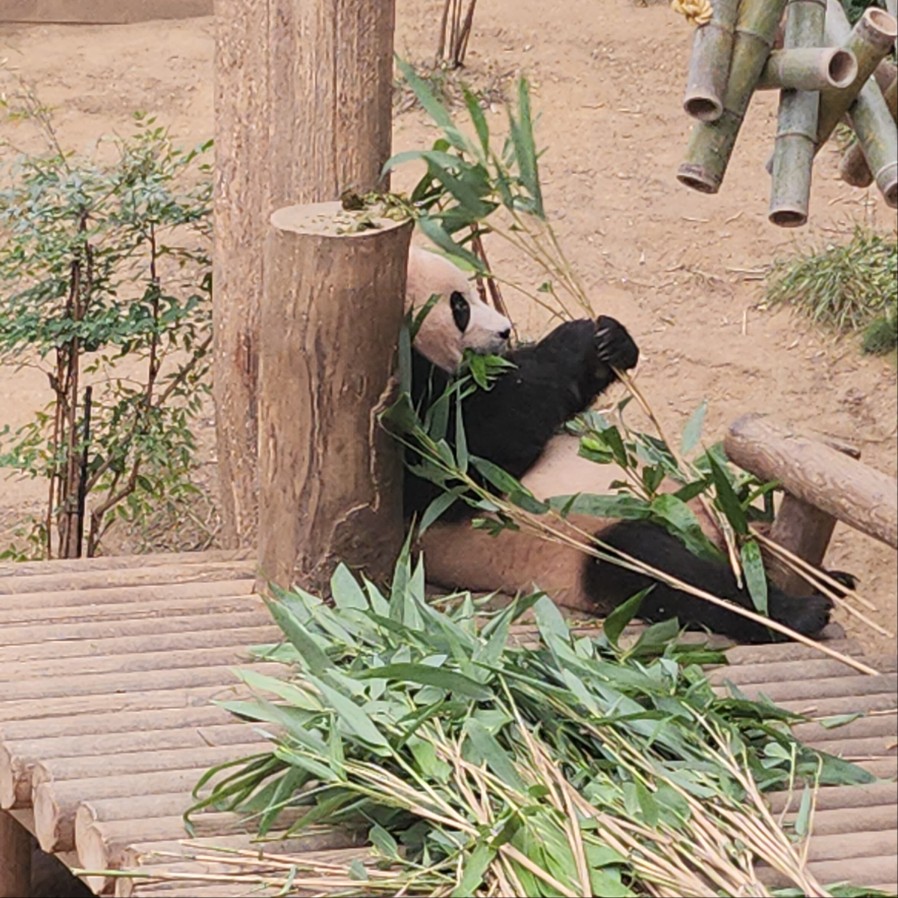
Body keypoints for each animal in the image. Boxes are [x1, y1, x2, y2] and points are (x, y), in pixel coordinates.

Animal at [400, 243, 832, 644]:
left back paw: (825, 576)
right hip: (582, 546)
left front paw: (608, 340)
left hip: (717, 512)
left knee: (744, 534)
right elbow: (467, 456)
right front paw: (576, 338)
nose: (505, 331)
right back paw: (796, 612)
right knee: (665, 572)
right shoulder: (415, 414)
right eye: (459, 306)